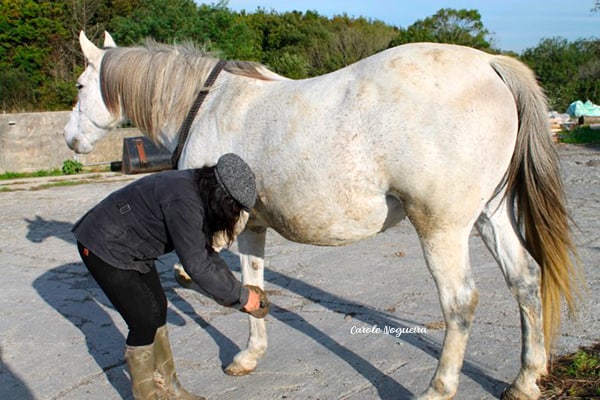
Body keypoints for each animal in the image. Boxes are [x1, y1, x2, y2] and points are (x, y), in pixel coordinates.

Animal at [63, 32, 580, 400]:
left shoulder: (224, 227)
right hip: (489, 216)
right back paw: (525, 380)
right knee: (524, 280)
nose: (70, 139)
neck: (209, 104)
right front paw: (250, 355)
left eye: (81, 86)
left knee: (459, 303)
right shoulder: (252, 225)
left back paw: (438, 389)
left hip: (442, 227)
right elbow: (253, 282)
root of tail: (489, 64)